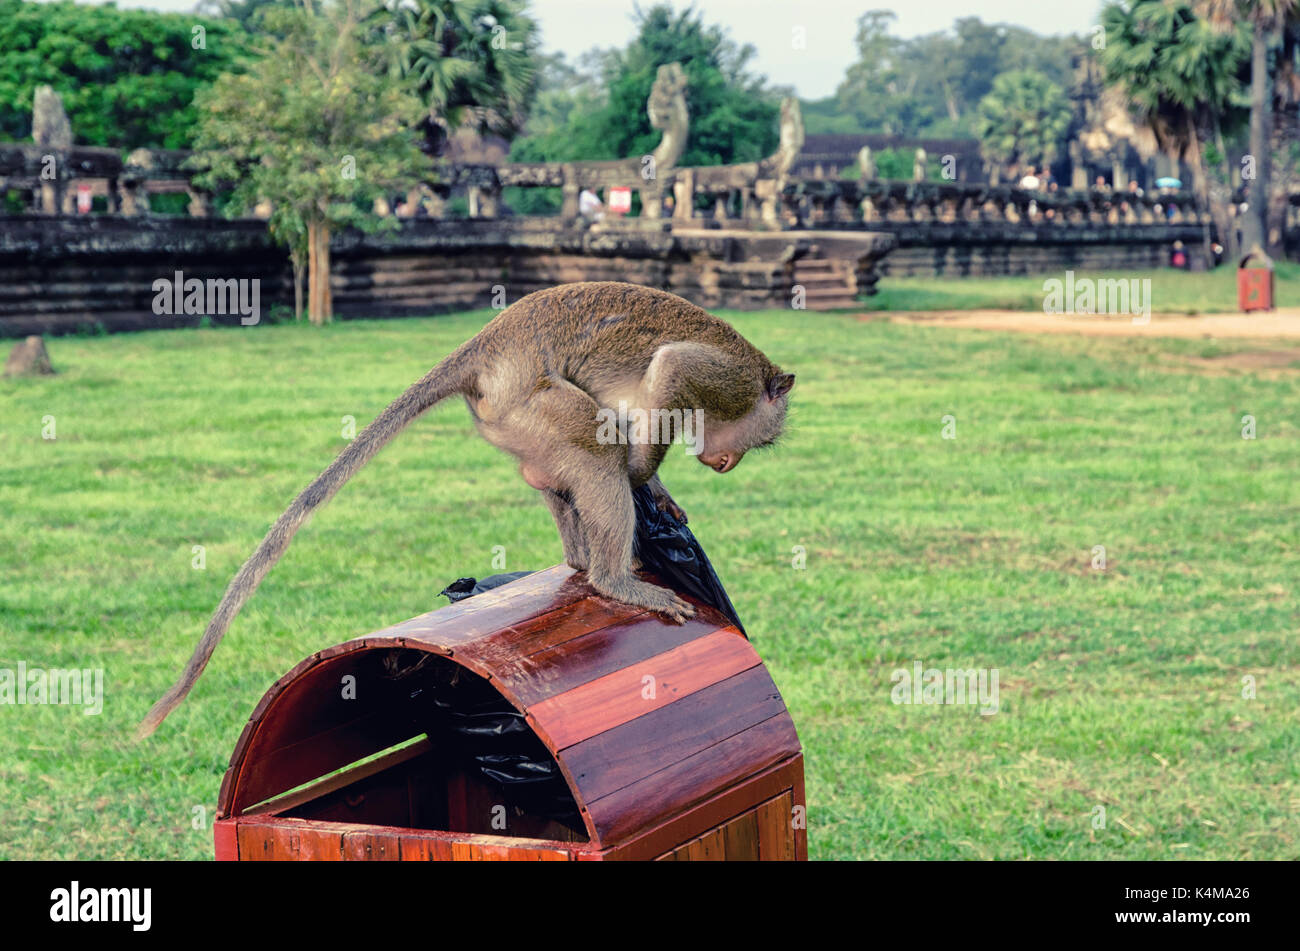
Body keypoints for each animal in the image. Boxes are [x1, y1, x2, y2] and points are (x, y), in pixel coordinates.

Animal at [139, 278, 790, 737]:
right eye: (760, 440)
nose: (728, 464)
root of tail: (488, 342)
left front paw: (657, 493)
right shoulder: (721, 379)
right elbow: (670, 371)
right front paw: (644, 477)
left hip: (516, 419)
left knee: (557, 467)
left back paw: (583, 562)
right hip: (530, 399)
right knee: (593, 439)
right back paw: (611, 578)